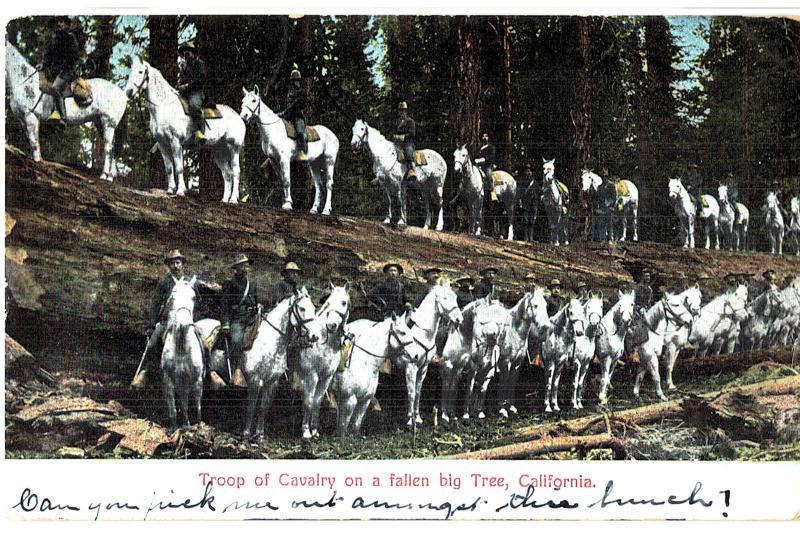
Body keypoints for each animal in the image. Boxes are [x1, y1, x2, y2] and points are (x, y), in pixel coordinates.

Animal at [4, 42, 127, 182]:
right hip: (101, 123)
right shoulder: (23, 120)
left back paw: (105, 175)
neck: (25, 82)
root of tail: (123, 94)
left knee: (108, 148)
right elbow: (31, 141)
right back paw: (111, 176)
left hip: (108, 123)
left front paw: (37, 162)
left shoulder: (31, 118)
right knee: (111, 148)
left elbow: (34, 143)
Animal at [122, 57, 245, 201]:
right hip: (219, 151)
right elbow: (169, 167)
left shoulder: (175, 142)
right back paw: (225, 199)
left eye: (141, 72)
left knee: (236, 171)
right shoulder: (163, 144)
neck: (164, 106)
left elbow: (179, 167)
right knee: (227, 173)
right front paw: (170, 190)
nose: (129, 92)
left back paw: (233, 199)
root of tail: (239, 117)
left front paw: (180, 191)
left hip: (233, 147)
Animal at [160, 276, 205, 434]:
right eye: (173, 295)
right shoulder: (168, 381)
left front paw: (197, 426)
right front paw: (173, 428)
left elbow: (197, 408)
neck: (181, 348)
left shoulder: (197, 381)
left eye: (193, 297)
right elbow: (173, 410)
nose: (183, 323)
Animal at [241, 292, 316, 440]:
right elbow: (251, 407)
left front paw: (260, 435)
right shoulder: (254, 380)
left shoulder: (271, 382)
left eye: (314, 308)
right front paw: (246, 435)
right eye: (302, 308)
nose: (315, 336)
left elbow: (263, 407)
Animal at [300, 284, 350, 438]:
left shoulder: (326, 377)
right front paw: (306, 432)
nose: (331, 325)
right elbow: (309, 401)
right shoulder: (311, 375)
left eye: (343, 302)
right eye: (328, 302)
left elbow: (317, 401)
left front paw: (315, 431)